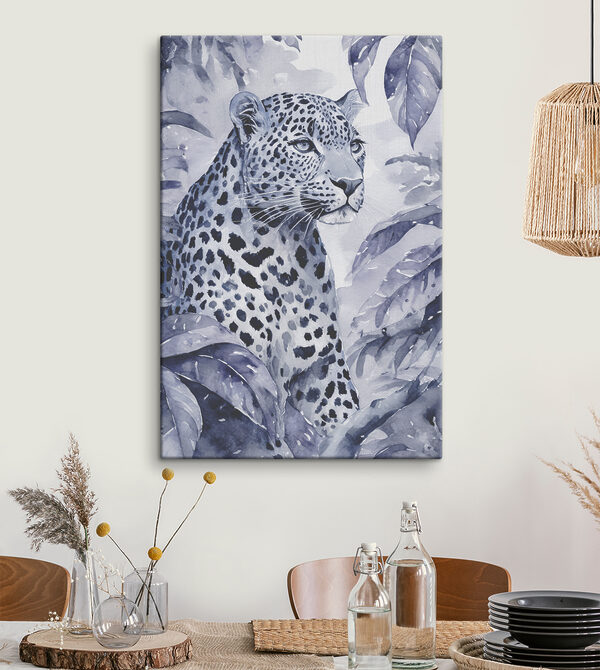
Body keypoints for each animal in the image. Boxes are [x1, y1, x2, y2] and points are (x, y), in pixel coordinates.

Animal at [161, 89, 366, 449]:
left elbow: (345, 413)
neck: (287, 248)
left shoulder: (324, 369)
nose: (351, 183)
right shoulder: (234, 362)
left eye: (355, 145)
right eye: (303, 145)